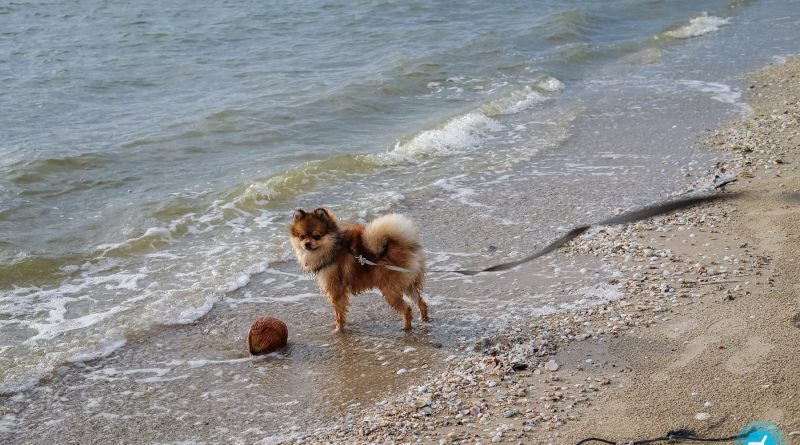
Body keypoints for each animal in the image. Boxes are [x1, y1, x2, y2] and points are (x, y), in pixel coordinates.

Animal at [286, 207, 424, 330]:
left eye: (316, 236)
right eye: (302, 236)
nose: (307, 244)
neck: (334, 247)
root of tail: (403, 245)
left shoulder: (335, 288)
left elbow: (339, 312)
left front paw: (338, 329)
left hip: (390, 290)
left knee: (407, 308)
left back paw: (406, 327)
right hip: (407, 284)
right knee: (420, 301)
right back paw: (424, 319)